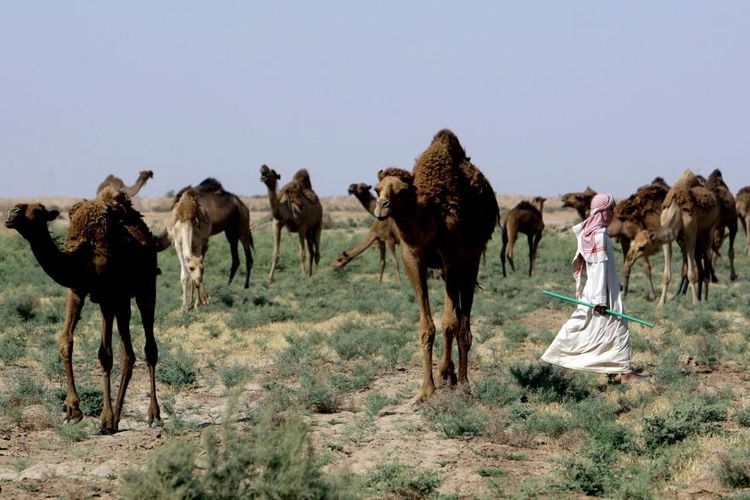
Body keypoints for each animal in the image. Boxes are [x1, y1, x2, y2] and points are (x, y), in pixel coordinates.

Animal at [3, 188, 168, 434]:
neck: (82, 261)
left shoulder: (109, 297)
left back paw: (152, 416)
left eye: (39, 211)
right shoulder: (77, 291)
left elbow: (107, 355)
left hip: (144, 289)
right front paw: (73, 411)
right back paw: (116, 419)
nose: (11, 213)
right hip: (117, 303)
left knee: (147, 348)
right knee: (125, 352)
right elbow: (66, 341)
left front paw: (103, 418)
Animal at [169, 178, 254, 306]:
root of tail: (242, 204)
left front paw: (201, 299)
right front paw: (188, 303)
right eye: (191, 268)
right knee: (235, 257)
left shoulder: (201, 242)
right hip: (230, 230)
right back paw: (227, 285)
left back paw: (245, 287)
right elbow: (185, 274)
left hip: (242, 223)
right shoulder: (178, 244)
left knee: (248, 254)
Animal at [374, 130, 500, 402]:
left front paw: (447, 378)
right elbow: (427, 326)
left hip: (472, 258)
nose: (381, 206)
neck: (430, 221)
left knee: (463, 323)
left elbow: (449, 324)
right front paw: (425, 390)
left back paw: (461, 381)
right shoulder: (412, 259)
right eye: (377, 189)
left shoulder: (451, 258)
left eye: (402, 190)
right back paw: (448, 374)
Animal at [624, 171, 724, 304]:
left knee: (707, 255)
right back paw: (699, 297)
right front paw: (661, 303)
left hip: (708, 231)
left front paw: (694, 303)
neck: (676, 210)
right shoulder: (668, 240)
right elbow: (666, 275)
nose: (629, 259)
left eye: (642, 247)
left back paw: (705, 299)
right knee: (699, 261)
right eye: (632, 244)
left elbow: (691, 273)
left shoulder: (691, 235)